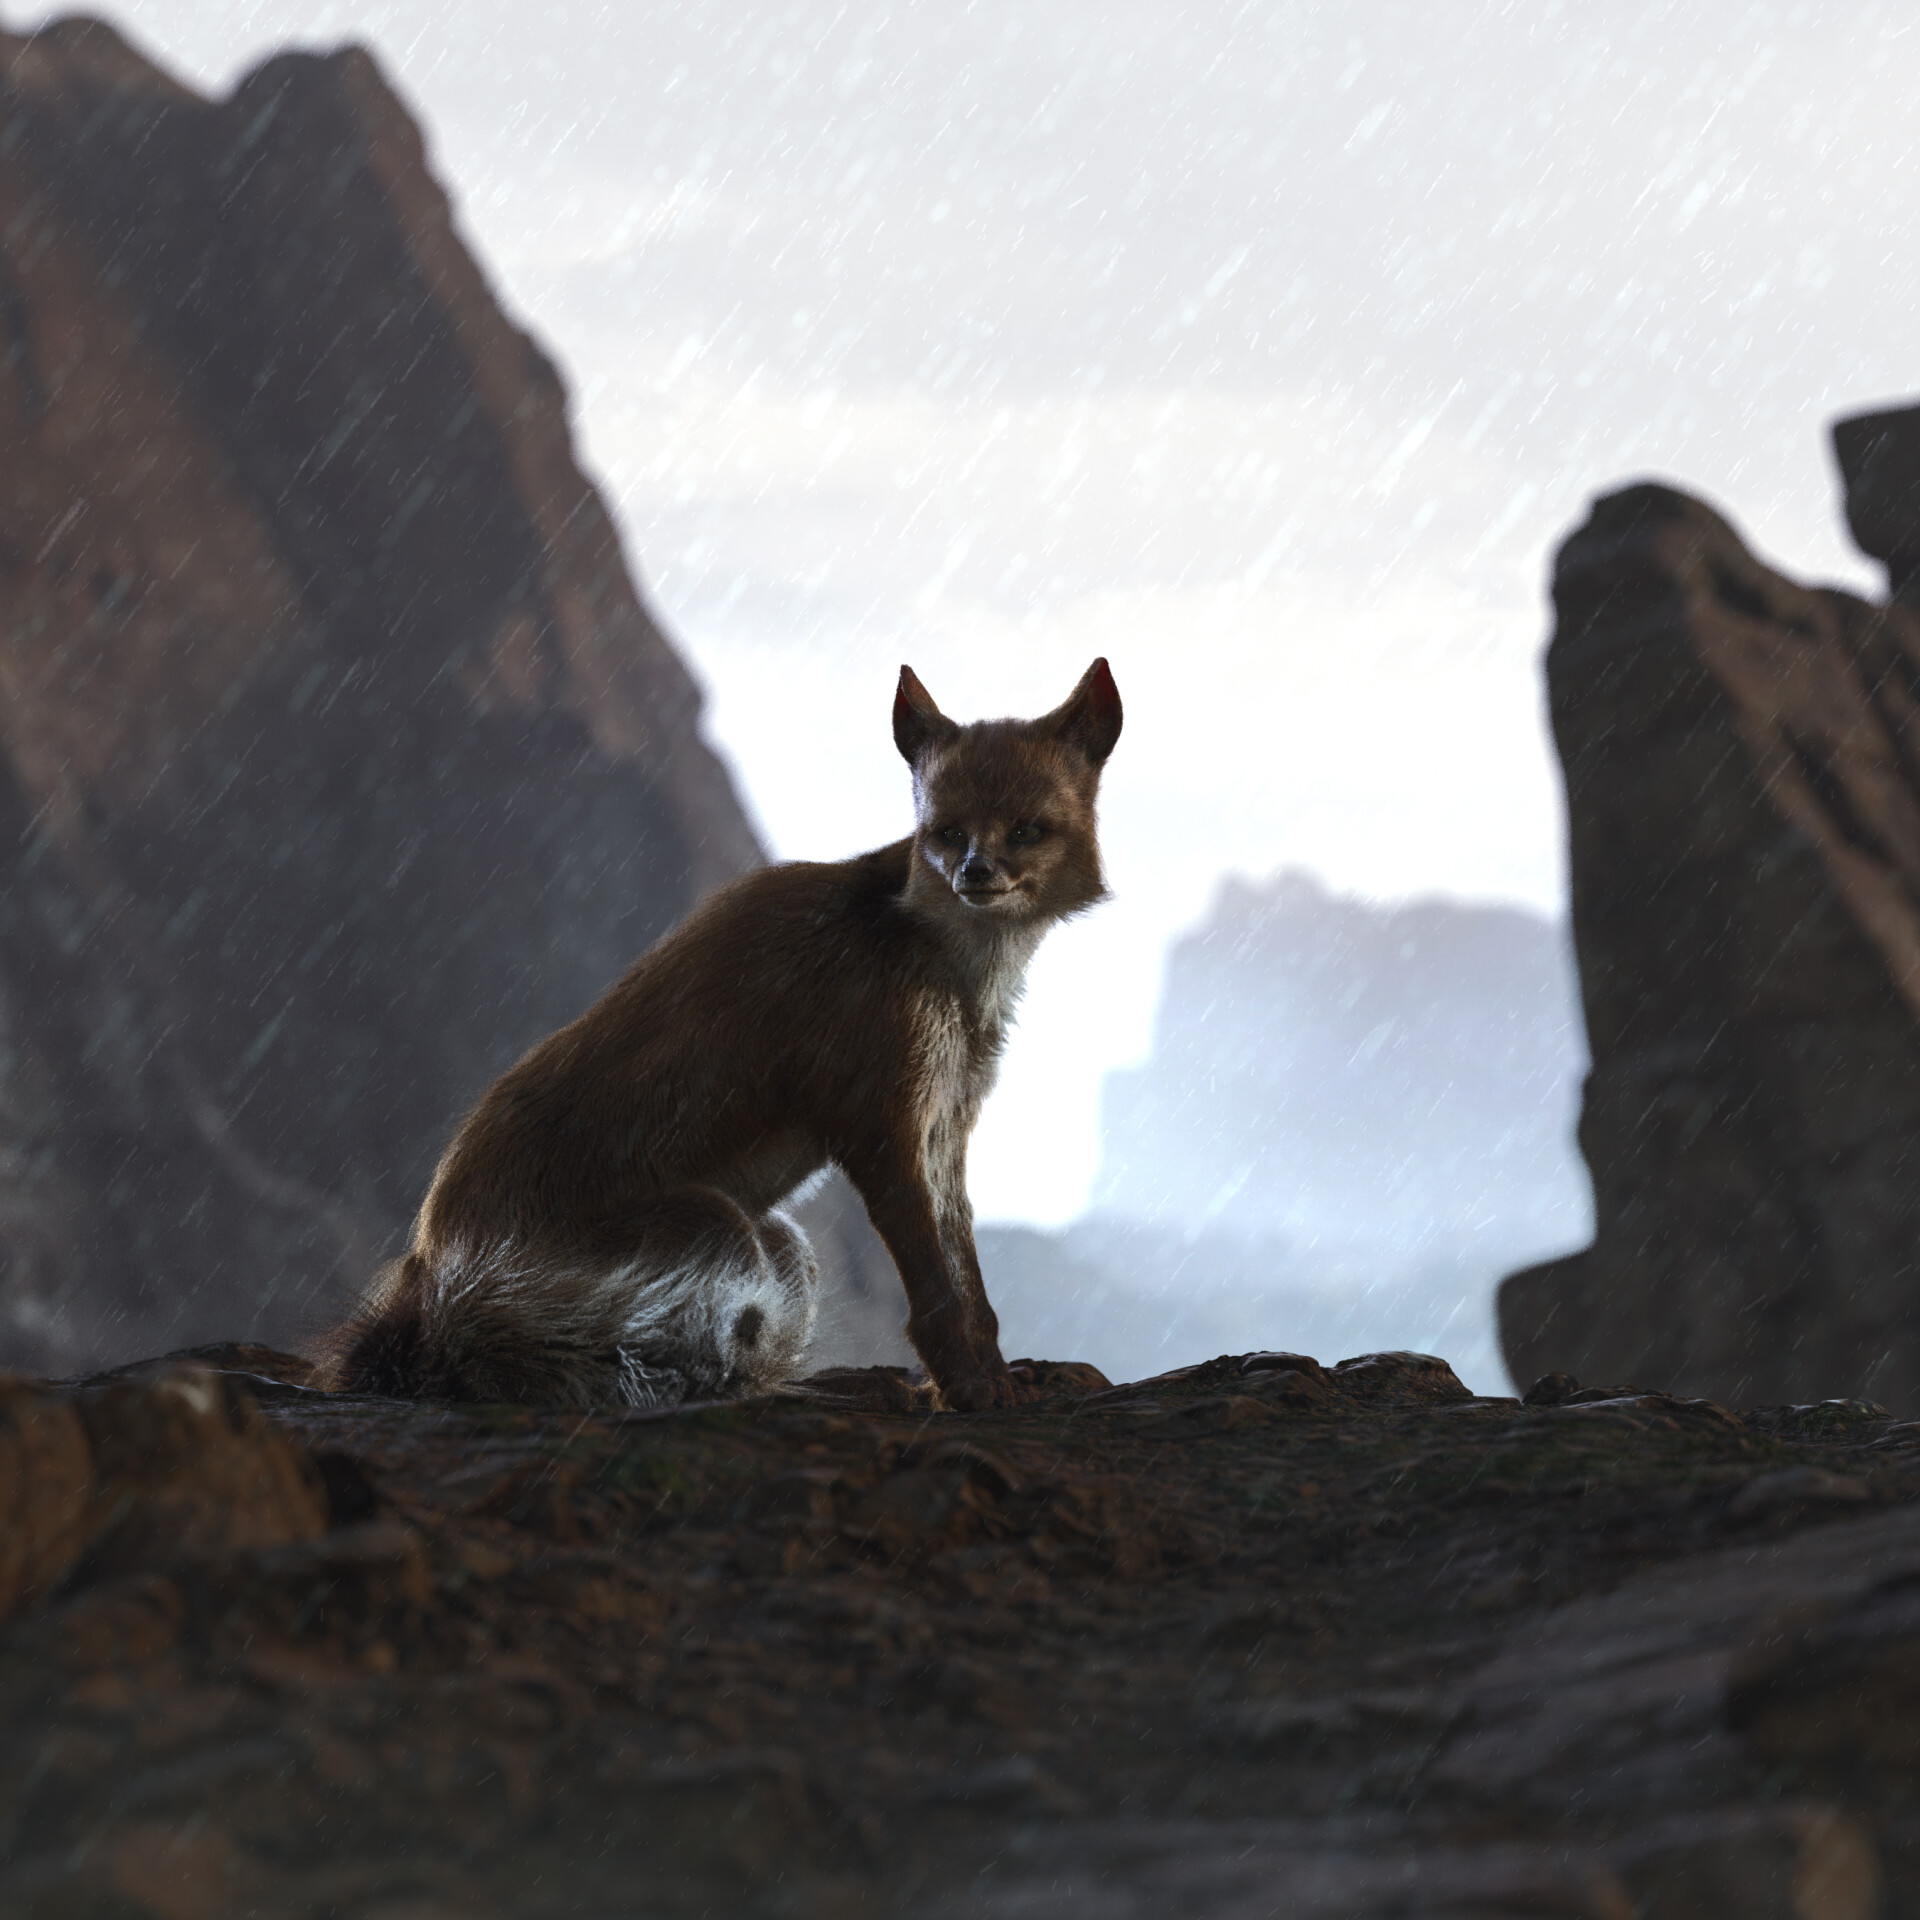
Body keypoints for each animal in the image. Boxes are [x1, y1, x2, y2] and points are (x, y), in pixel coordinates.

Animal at [321, 658, 1123, 1413]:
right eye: (948, 833)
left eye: (1026, 829)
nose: (974, 872)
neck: (942, 963)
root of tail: (427, 1284)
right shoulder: (879, 1124)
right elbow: (936, 1295)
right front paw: (966, 1389)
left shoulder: (945, 1128)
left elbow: (973, 1289)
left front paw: (1007, 1376)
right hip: (722, 1227)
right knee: (690, 1380)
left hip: (780, 1243)